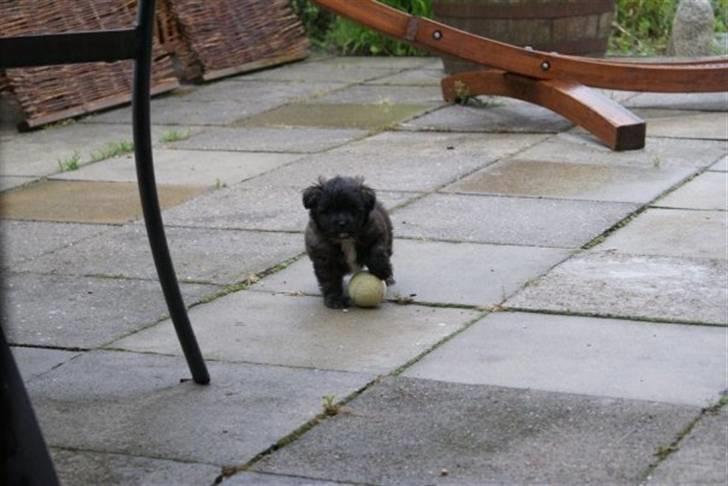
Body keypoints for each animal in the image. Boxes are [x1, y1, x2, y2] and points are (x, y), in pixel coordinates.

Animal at [302, 177, 392, 310]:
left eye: (353, 208)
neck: (345, 239)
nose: (342, 223)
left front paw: (381, 270)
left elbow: (377, 250)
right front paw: (335, 299)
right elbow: (330, 279)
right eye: (328, 210)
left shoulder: (376, 233)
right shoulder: (325, 257)